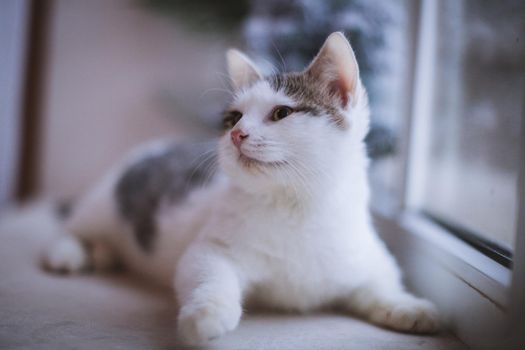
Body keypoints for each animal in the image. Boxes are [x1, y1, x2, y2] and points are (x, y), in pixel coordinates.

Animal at [43, 32, 440, 344]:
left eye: (281, 113)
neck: (296, 207)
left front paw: (407, 305)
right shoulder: (211, 249)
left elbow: (380, 283)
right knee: (71, 226)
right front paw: (205, 314)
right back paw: (69, 253)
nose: (237, 134)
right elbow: (210, 277)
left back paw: (104, 254)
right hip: (105, 203)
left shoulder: (366, 257)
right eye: (233, 117)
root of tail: (154, 147)